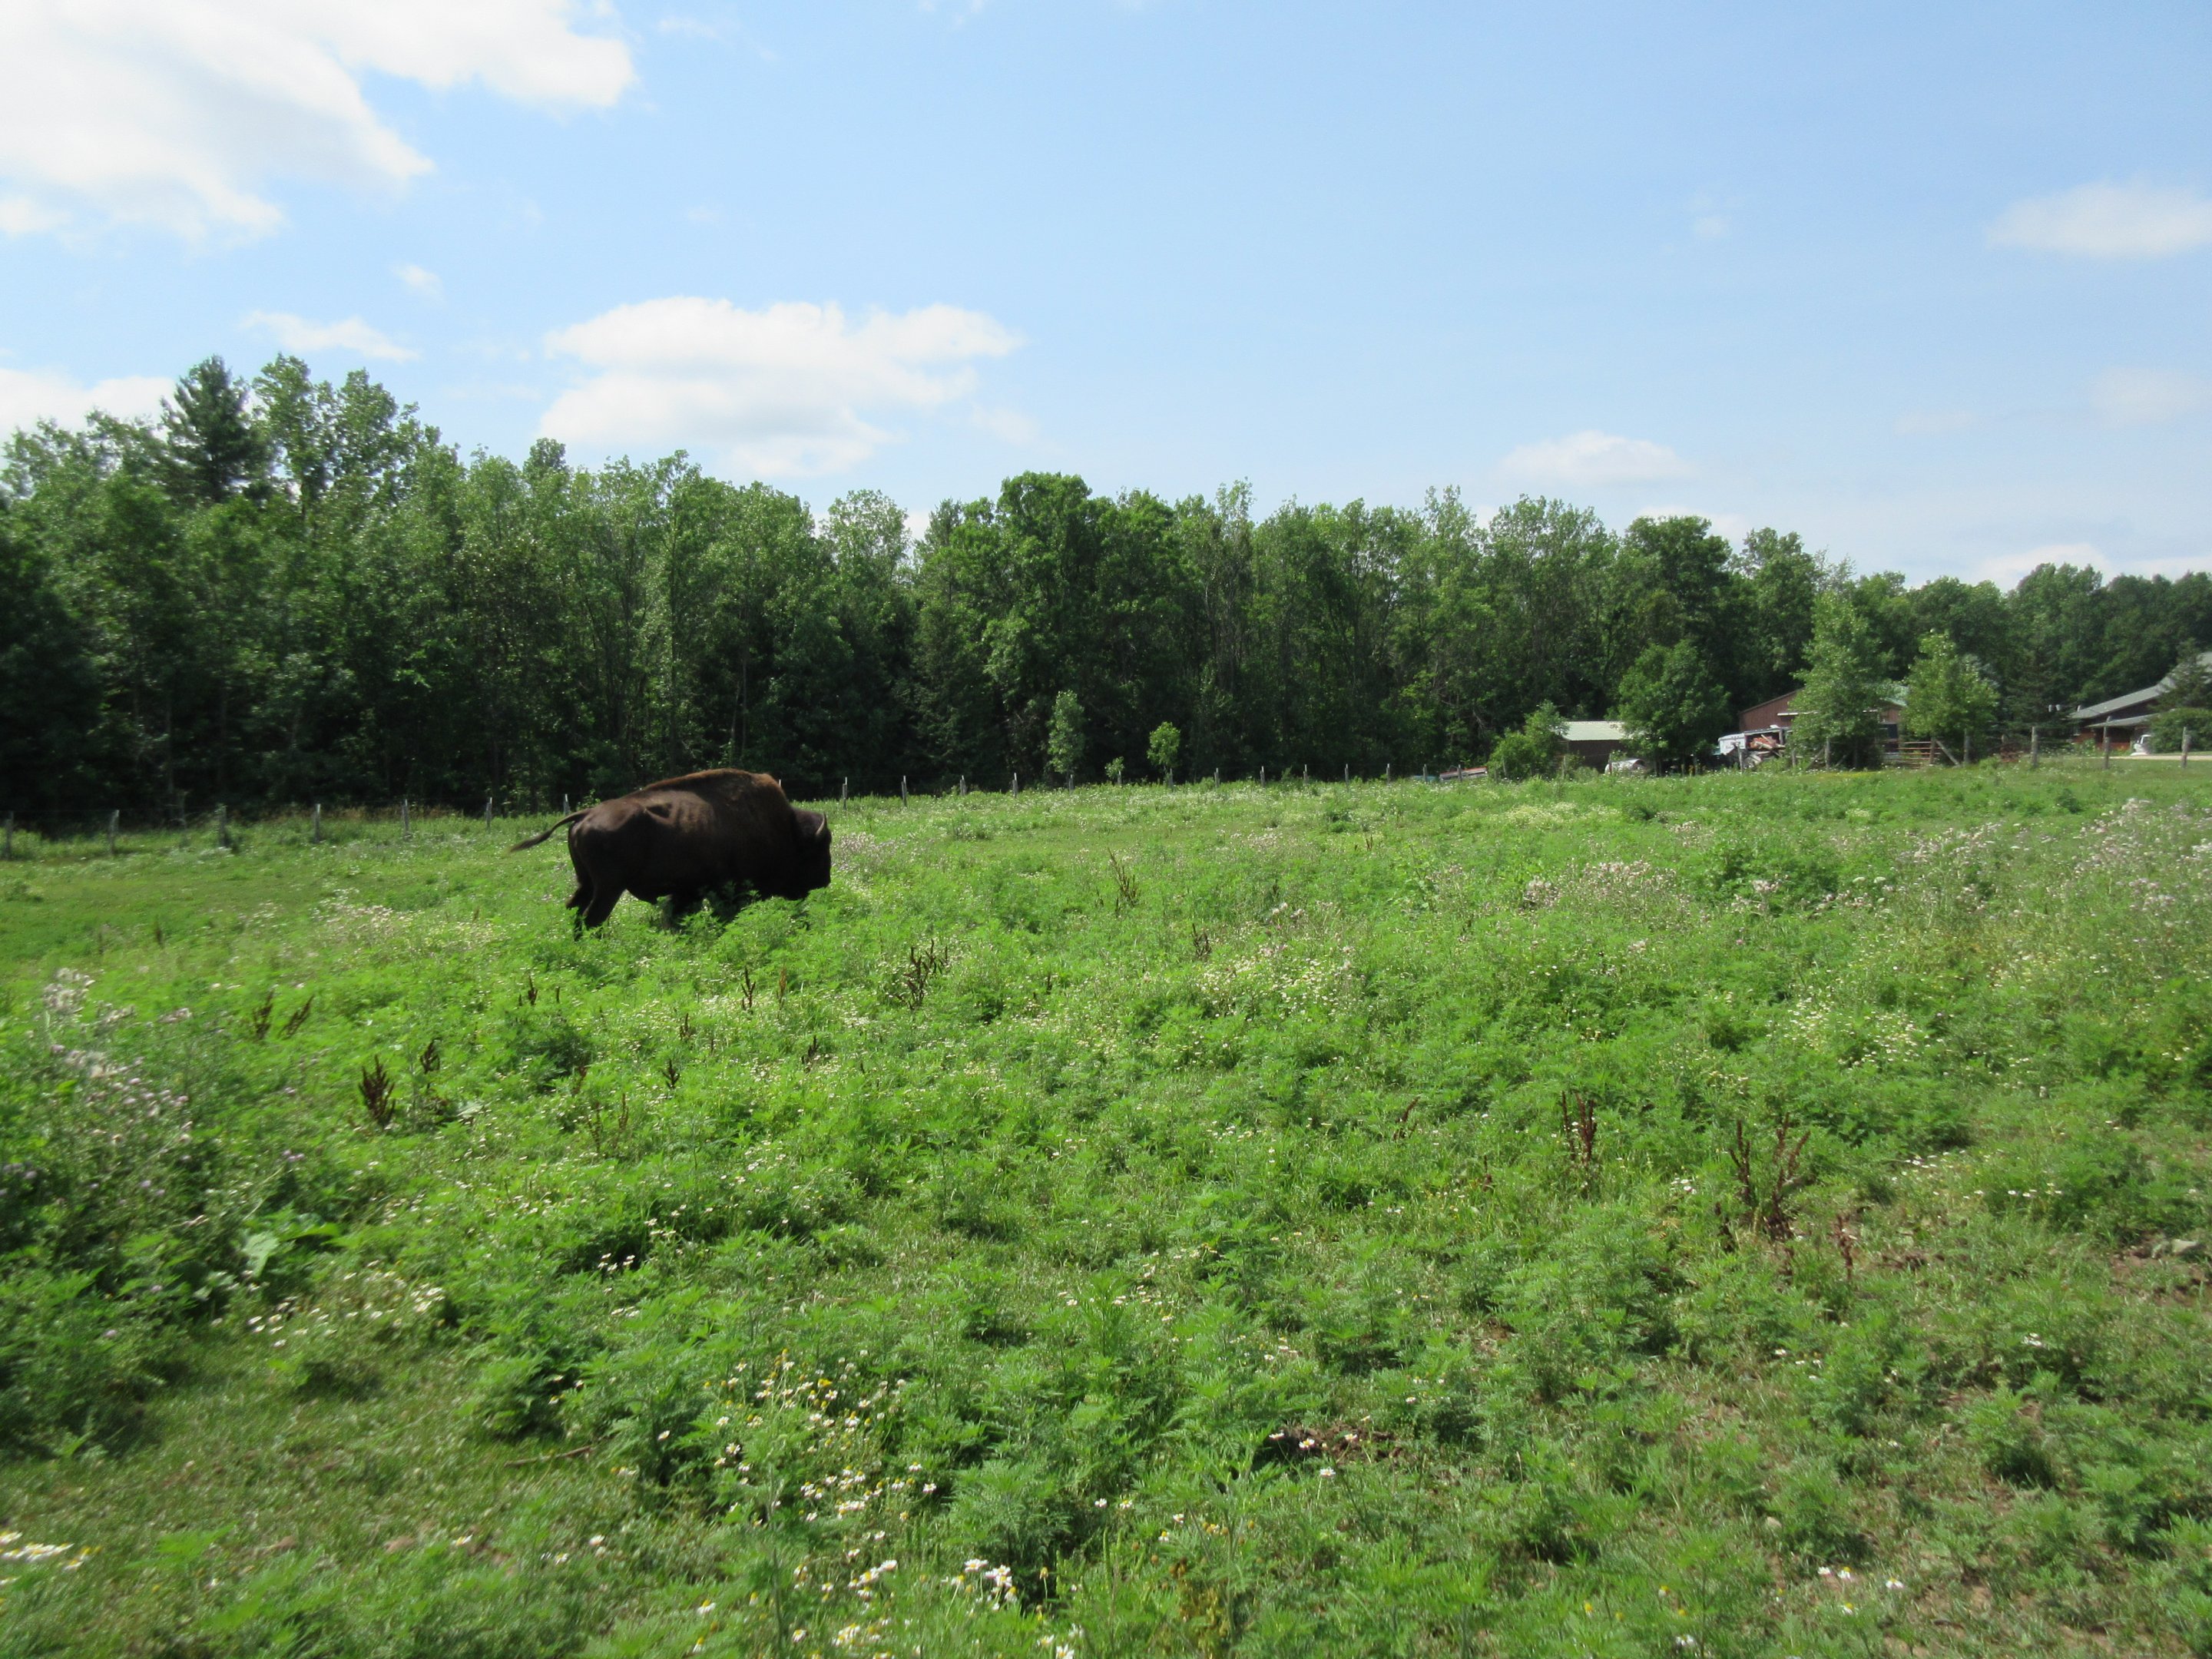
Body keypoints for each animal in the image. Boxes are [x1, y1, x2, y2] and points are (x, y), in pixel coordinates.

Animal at [509, 768, 831, 927]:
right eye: (819, 850)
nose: (825, 880)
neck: (783, 828)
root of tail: (585, 814)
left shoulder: (689, 891)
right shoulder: (726, 890)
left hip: (586, 882)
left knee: (575, 910)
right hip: (609, 887)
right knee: (592, 918)